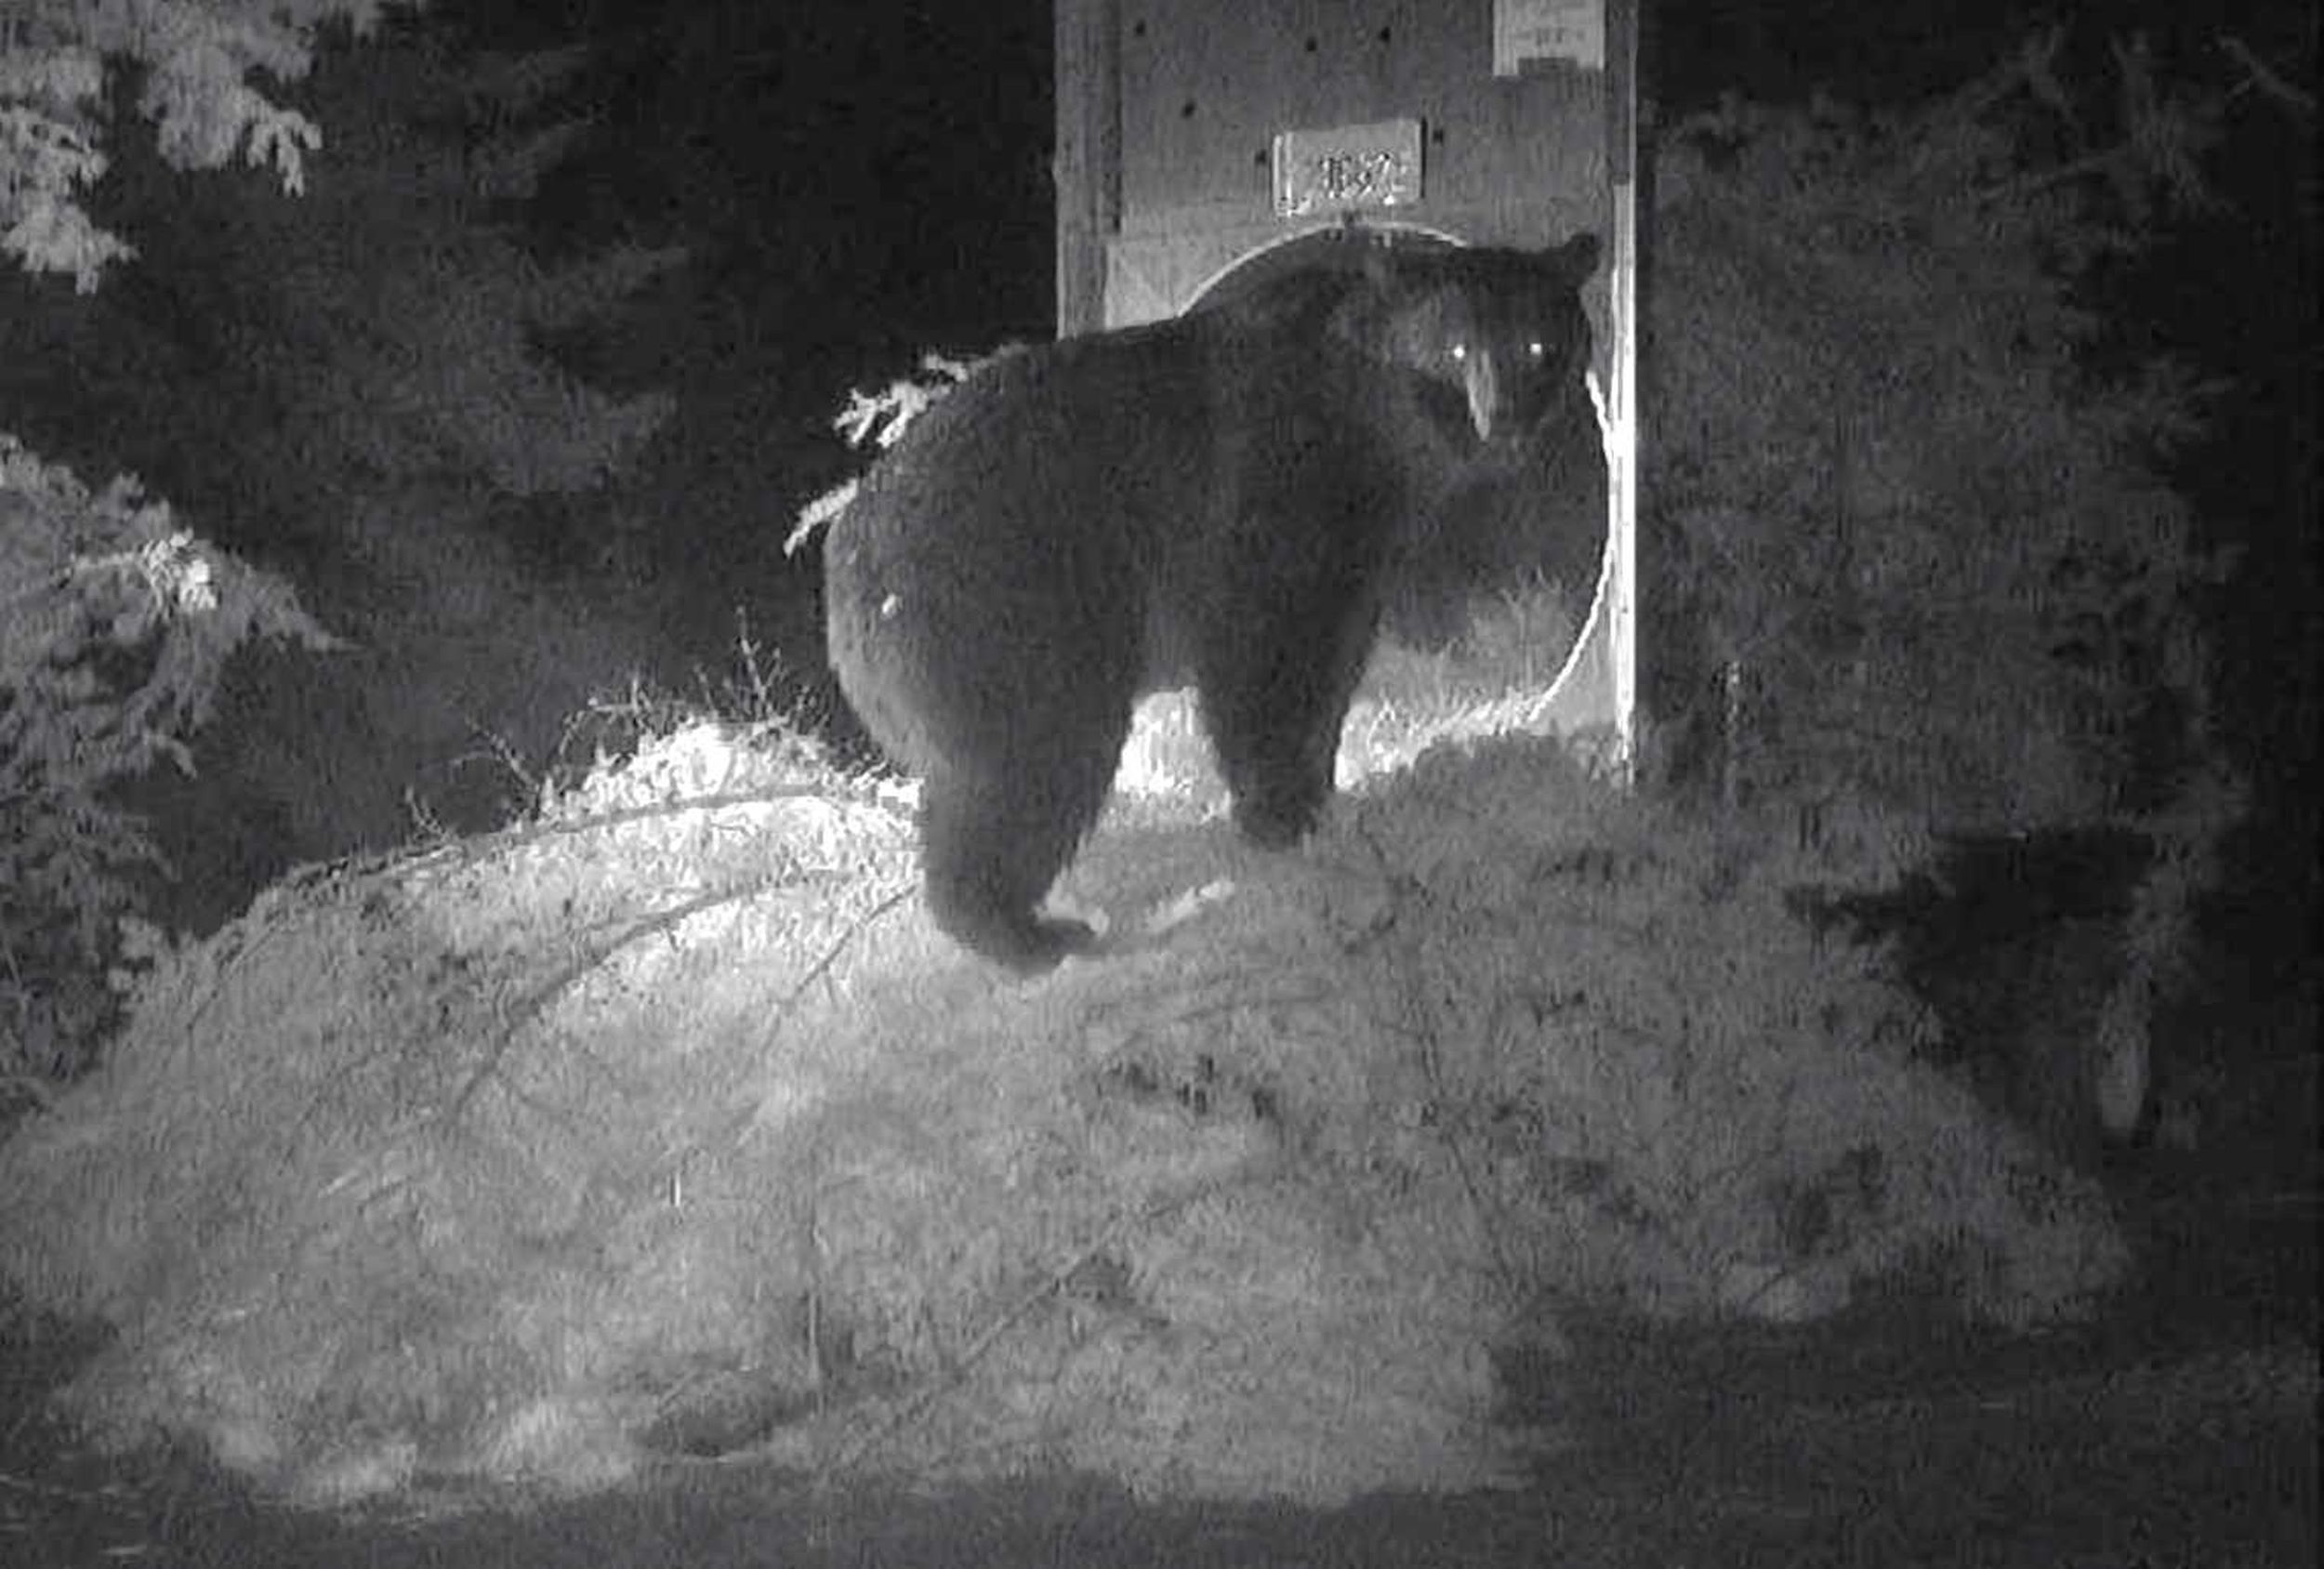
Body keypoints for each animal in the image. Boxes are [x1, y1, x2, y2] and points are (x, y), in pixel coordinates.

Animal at [818, 231, 1599, 971]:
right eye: (1456, 344)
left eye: (1538, 343)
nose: (1503, 424)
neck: (1373, 428)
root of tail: (846, 557)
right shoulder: (1269, 486)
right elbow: (1261, 647)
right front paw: (1277, 811)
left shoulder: (1360, 552)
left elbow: (1332, 659)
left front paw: (1320, 792)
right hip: (1014, 611)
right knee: (1028, 761)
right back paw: (1032, 932)